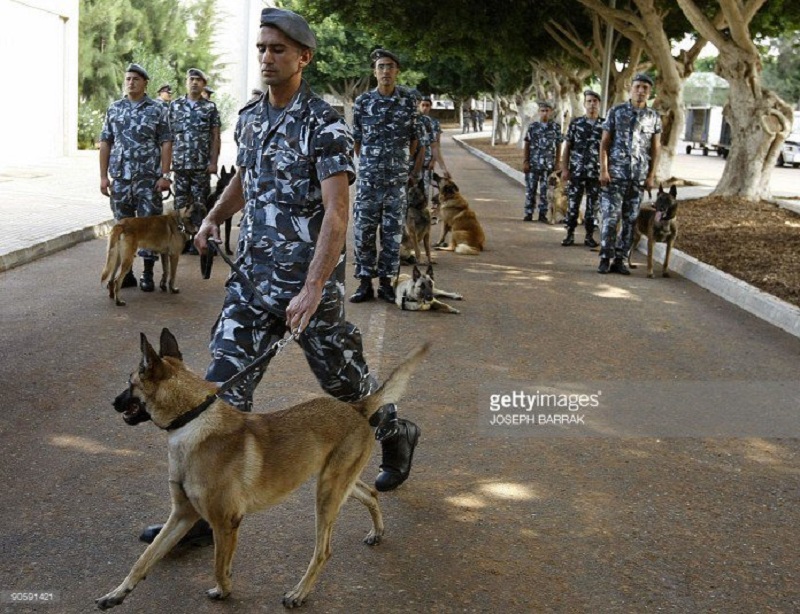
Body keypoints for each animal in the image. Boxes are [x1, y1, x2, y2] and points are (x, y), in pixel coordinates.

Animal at [96, 328, 428, 612]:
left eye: (129, 383)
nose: (112, 403)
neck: (192, 419)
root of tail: (356, 408)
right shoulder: (182, 514)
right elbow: (144, 559)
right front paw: (116, 594)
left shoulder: (226, 521)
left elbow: (218, 565)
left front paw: (224, 590)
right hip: (335, 483)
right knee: (370, 492)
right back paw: (377, 531)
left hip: (327, 494)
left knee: (323, 551)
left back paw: (299, 593)